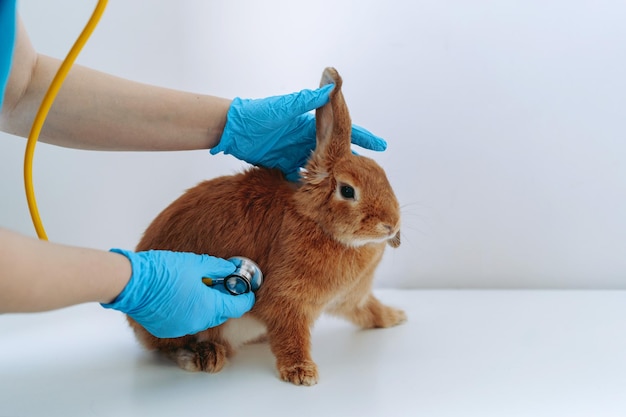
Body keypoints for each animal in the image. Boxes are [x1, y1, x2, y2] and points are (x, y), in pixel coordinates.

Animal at [129, 66, 408, 386]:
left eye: (382, 174)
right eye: (348, 191)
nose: (391, 225)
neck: (317, 222)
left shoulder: (350, 299)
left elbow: (368, 311)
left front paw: (395, 316)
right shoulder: (287, 301)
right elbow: (291, 336)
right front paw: (301, 373)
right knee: (167, 345)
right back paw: (203, 355)